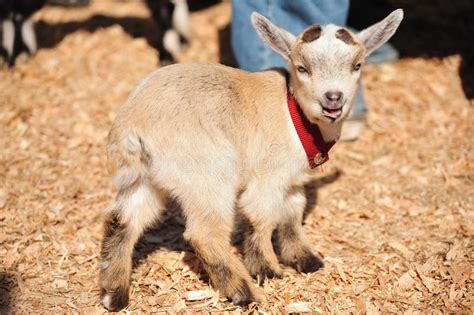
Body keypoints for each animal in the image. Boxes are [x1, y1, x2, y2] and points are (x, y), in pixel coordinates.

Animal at [98, 9, 402, 312]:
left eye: (357, 65)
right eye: (302, 68)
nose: (333, 99)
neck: (294, 112)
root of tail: (133, 124)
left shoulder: (292, 181)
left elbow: (293, 213)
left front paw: (304, 259)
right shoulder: (268, 177)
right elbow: (263, 217)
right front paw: (267, 269)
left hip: (146, 179)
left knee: (123, 220)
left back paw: (114, 294)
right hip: (209, 173)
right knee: (204, 233)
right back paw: (244, 293)